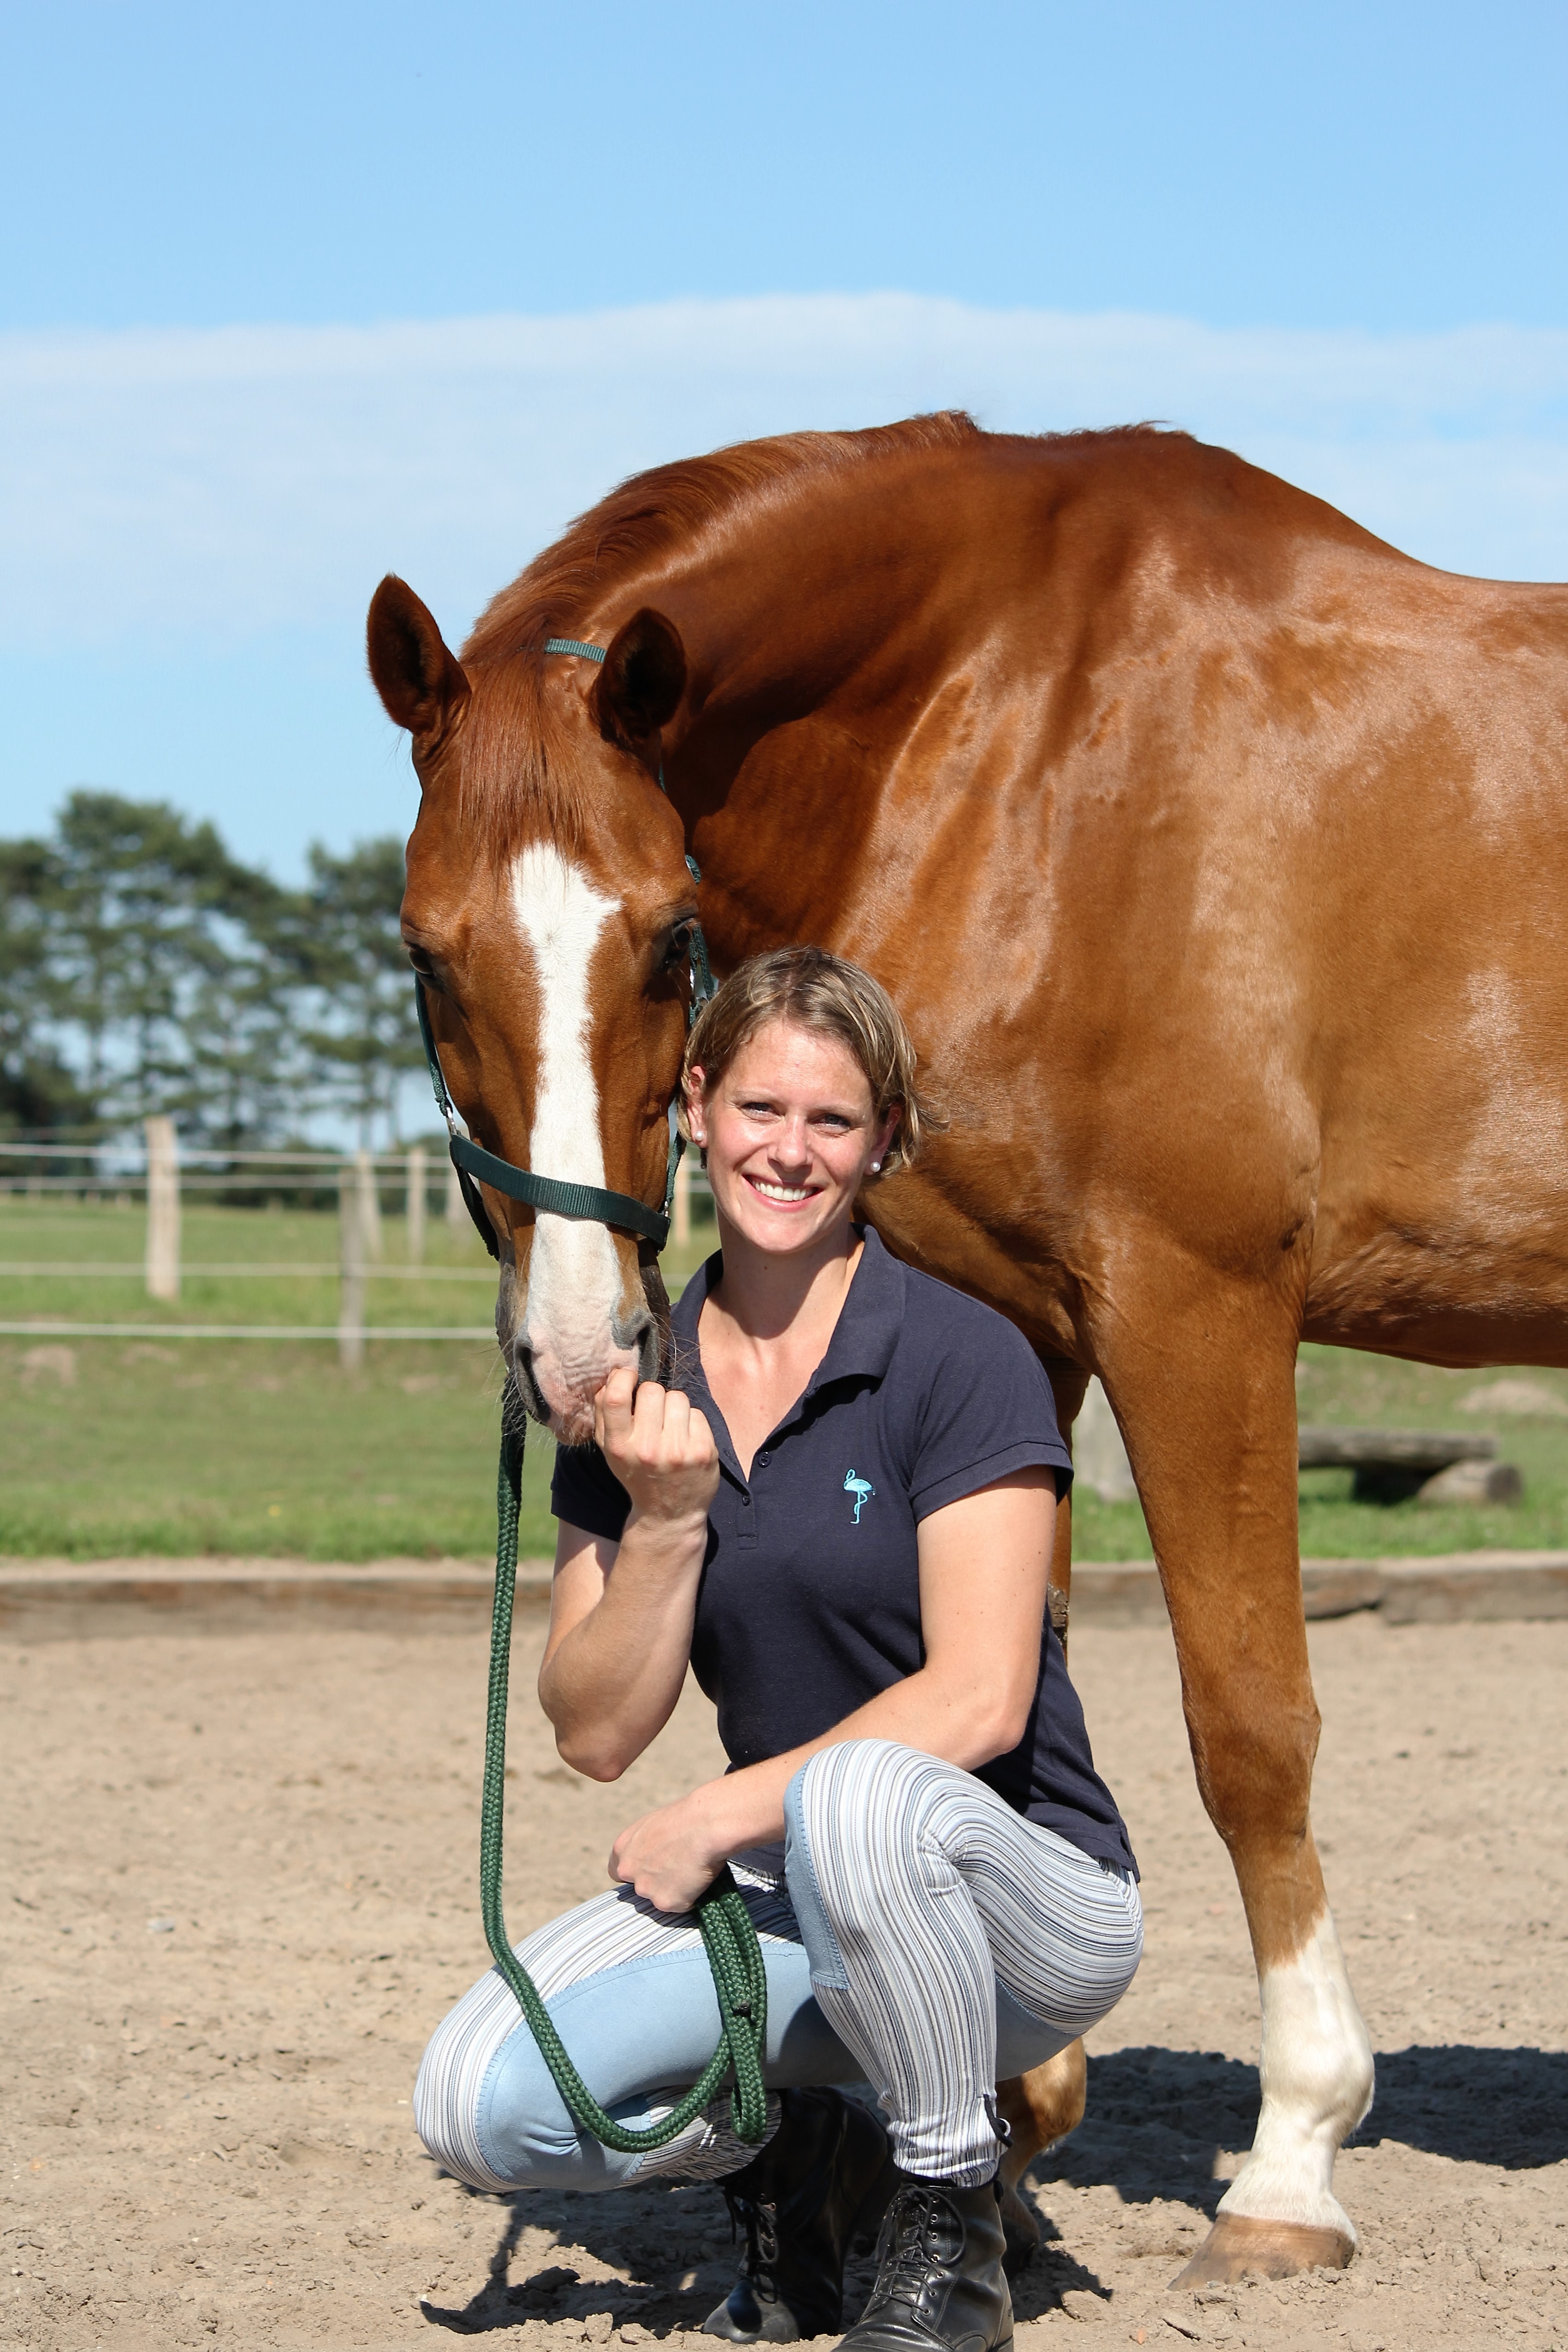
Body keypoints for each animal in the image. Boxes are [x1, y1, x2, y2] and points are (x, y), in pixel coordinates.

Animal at [371, 414, 1568, 2286]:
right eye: (428, 951)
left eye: (666, 938)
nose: (582, 1348)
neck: (1028, 739)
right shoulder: (1017, 1317)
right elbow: (1002, 1679)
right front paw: (1009, 2133)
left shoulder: (1195, 1303)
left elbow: (1247, 1719)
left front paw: (1290, 2155)